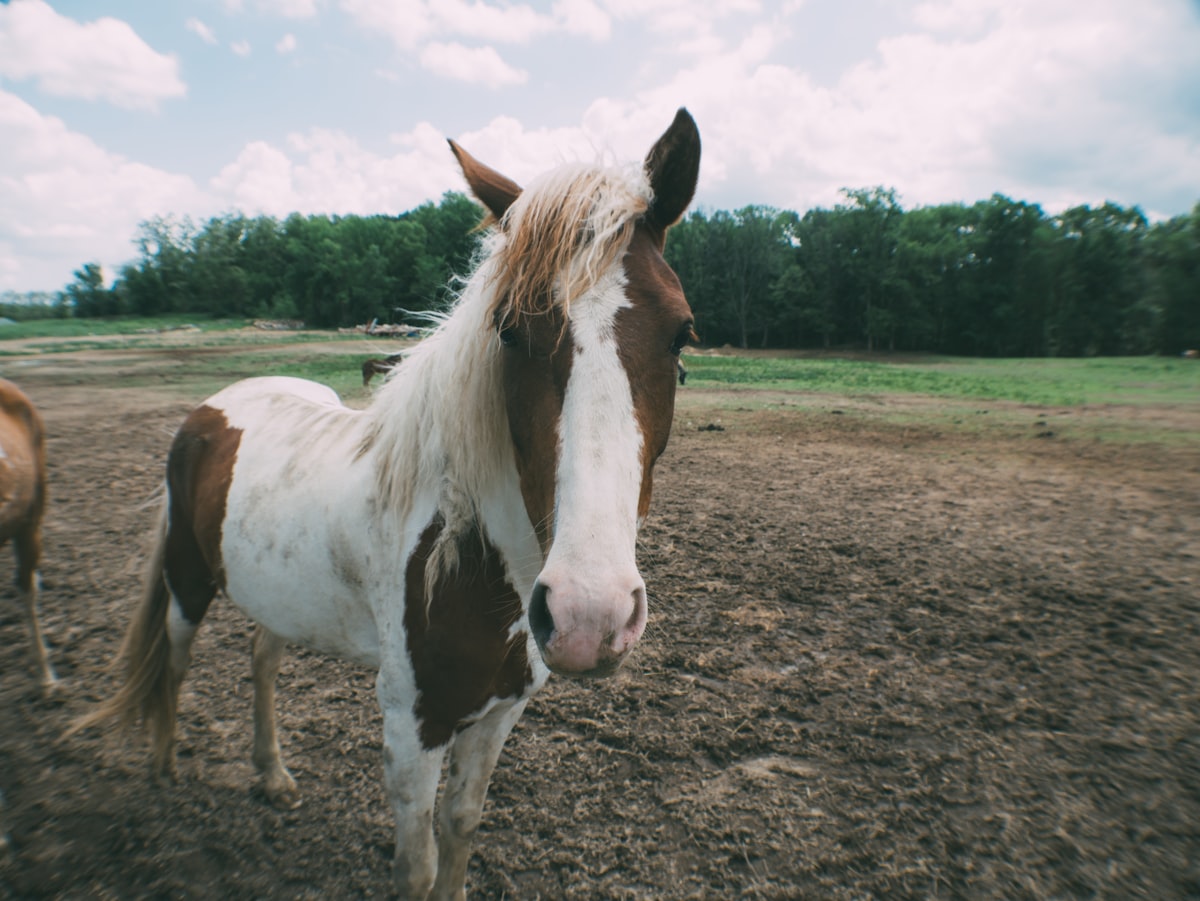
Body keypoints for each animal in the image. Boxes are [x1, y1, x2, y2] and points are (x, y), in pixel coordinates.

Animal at [76, 108, 701, 899]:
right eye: (509, 329)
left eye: (682, 334)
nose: (590, 616)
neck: (471, 561)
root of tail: (212, 409)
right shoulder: (412, 724)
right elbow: (416, 861)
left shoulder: (499, 712)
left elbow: (460, 826)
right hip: (188, 581)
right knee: (176, 662)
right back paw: (163, 768)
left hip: (280, 594)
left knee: (262, 658)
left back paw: (271, 774)